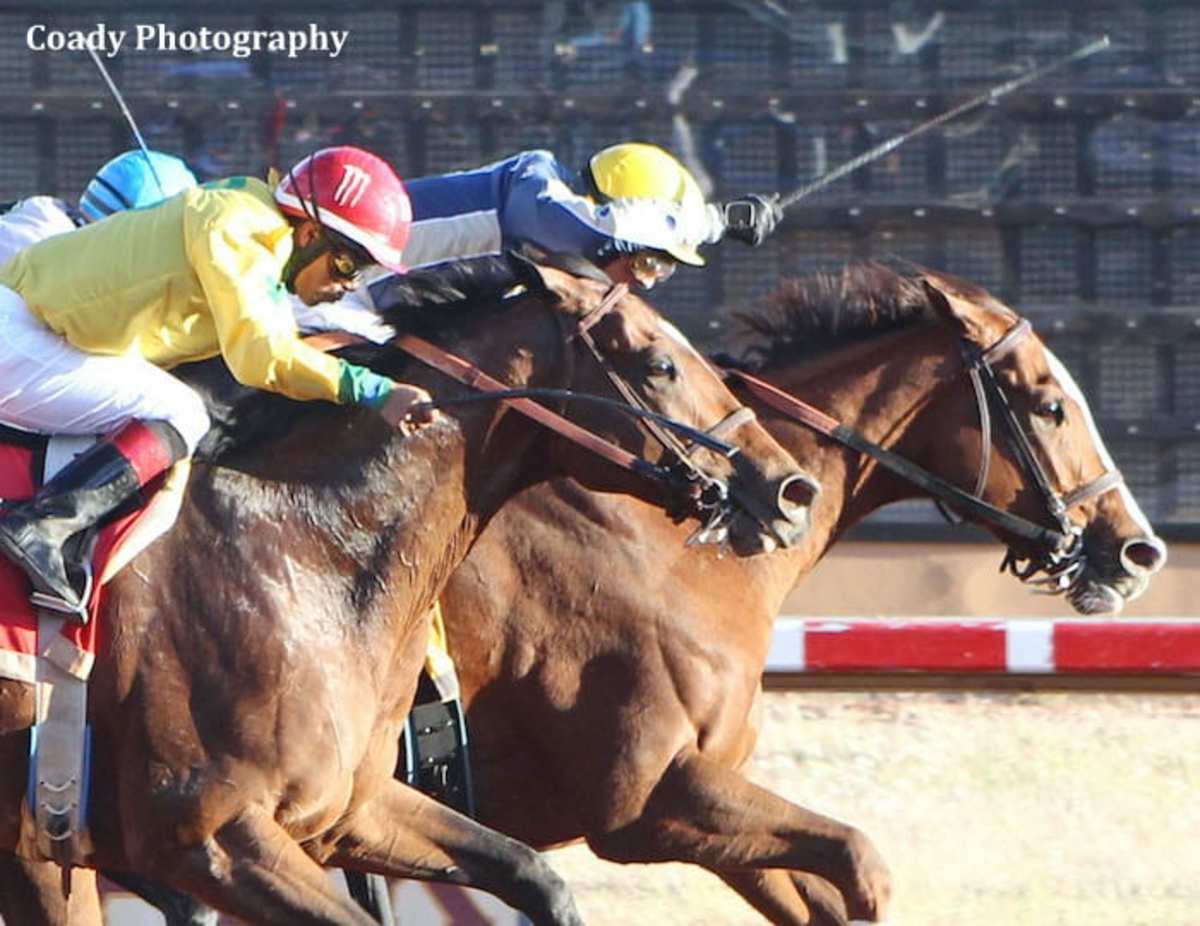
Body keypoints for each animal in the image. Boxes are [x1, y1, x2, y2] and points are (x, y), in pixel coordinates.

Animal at [0, 254, 814, 925]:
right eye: (658, 364)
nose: (790, 488)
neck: (303, 548)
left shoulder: (350, 810)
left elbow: (536, 876)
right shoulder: (209, 834)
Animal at [407, 264, 1165, 924]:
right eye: (1050, 406)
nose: (1137, 549)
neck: (667, 550)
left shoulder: (710, 797)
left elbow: (825, 890)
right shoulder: (645, 799)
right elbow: (862, 867)